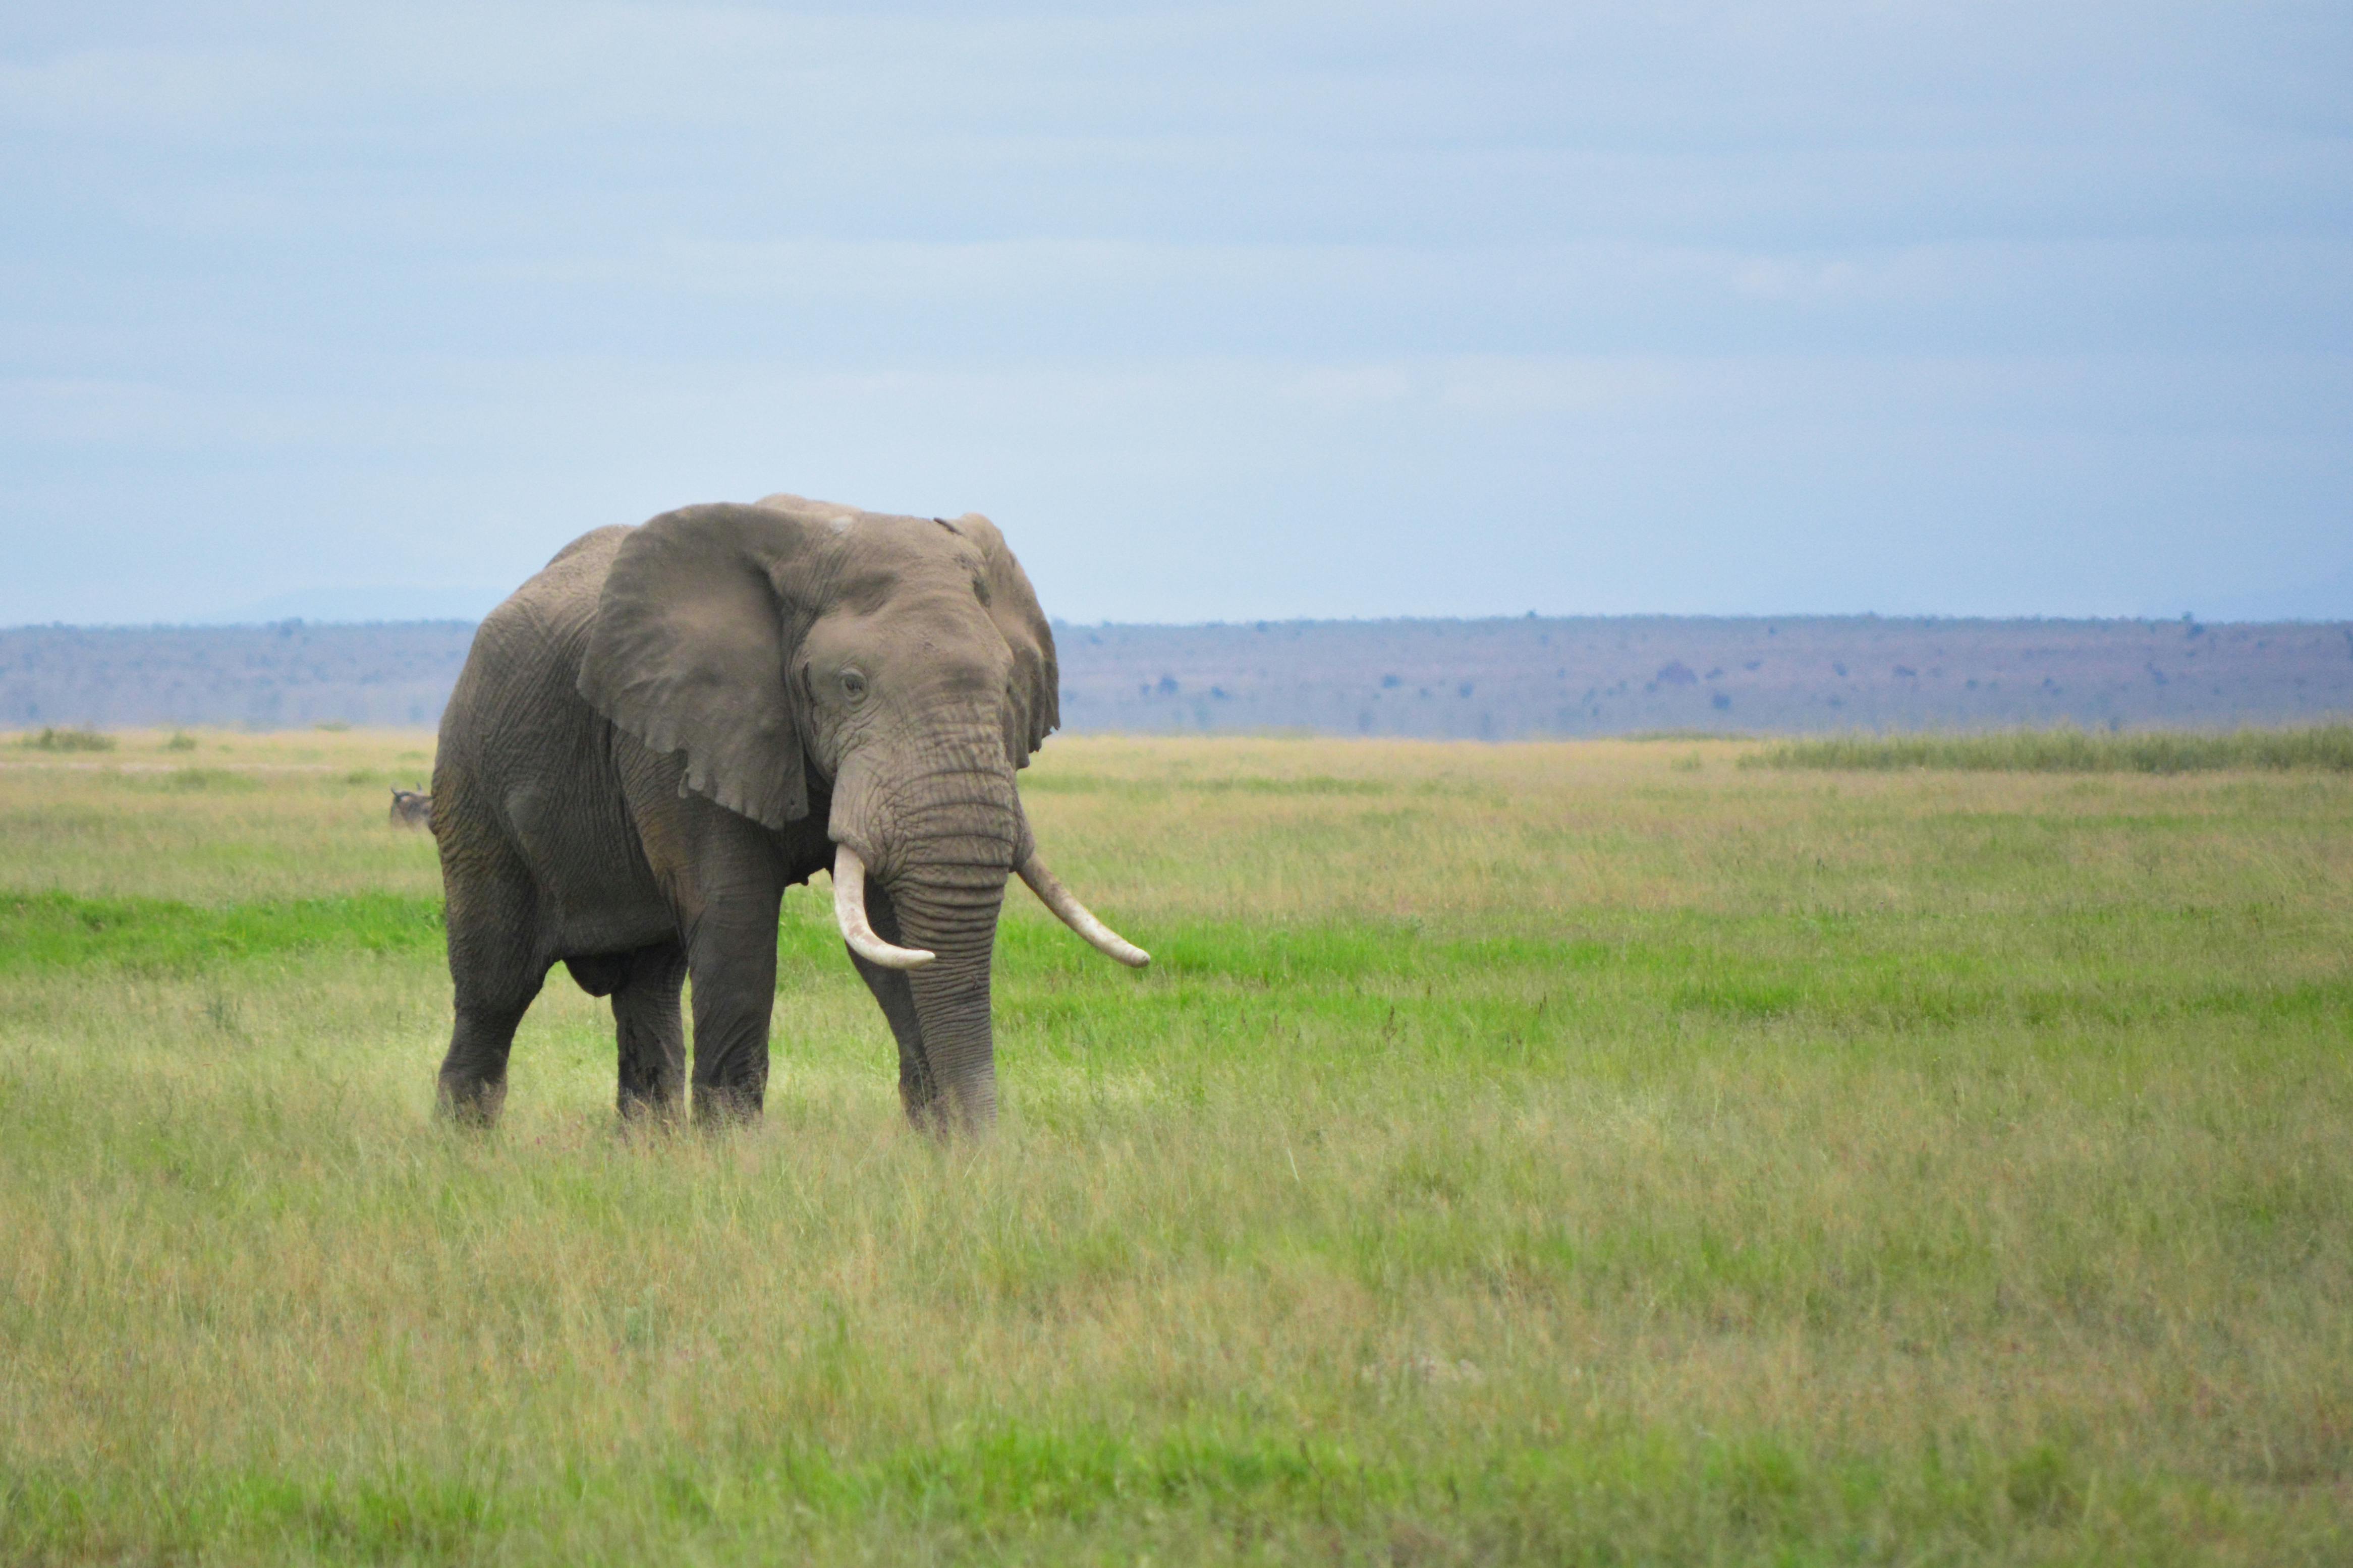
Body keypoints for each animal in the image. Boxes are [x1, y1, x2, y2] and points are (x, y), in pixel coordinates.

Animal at [437, 496, 1153, 1133]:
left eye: (1007, 686)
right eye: (851, 685)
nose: (983, 1153)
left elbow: (890, 938)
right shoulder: (682, 734)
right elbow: (737, 926)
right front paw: (733, 1162)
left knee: (650, 985)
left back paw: (649, 1153)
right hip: (473, 785)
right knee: (495, 986)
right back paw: (465, 1151)